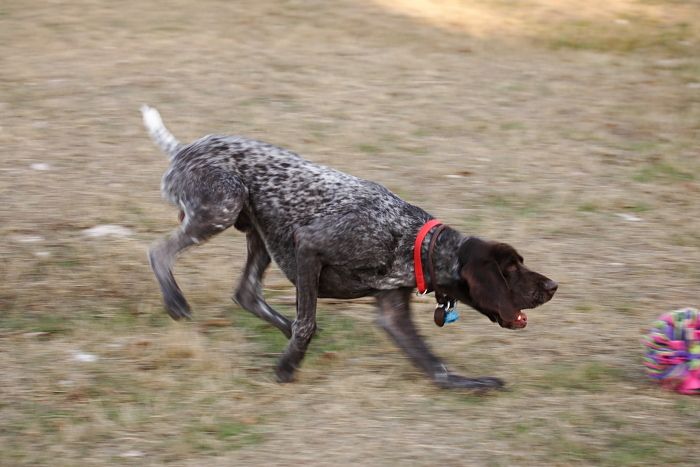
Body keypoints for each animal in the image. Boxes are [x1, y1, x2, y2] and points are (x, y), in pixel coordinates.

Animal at [142, 107, 556, 392]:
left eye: (520, 264)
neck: (414, 241)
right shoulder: (309, 248)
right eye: (510, 270)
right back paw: (175, 301)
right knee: (159, 252)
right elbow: (307, 323)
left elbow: (434, 366)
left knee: (246, 292)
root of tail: (182, 149)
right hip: (224, 206)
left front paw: (468, 383)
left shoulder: (393, 311)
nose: (553, 286)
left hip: (258, 234)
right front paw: (287, 368)